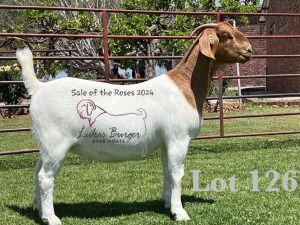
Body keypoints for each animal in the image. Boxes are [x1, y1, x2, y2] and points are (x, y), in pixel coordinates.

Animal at [15, 21, 251, 225]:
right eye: (225, 35)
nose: (249, 50)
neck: (185, 86)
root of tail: (39, 88)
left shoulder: (166, 142)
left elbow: (167, 171)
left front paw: (167, 204)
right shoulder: (178, 138)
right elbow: (177, 174)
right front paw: (180, 212)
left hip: (46, 144)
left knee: (36, 171)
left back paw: (37, 209)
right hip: (56, 142)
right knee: (45, 177)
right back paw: (51, 218)